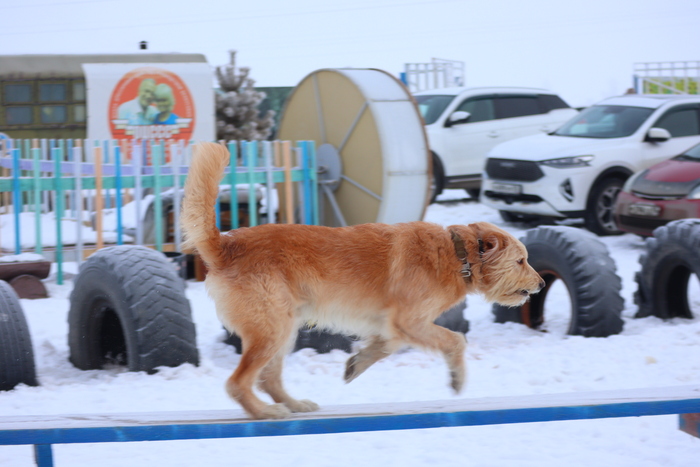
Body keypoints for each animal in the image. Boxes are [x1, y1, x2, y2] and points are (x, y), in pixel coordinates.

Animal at [181, 142, 544, 419]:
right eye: (521, 260)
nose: (541, 285)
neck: (456, 254)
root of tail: (226, 244)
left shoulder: (395, 324)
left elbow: (385, 347)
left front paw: (358, 362)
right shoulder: (409, 321)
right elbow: (455, 340)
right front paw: (456, 378)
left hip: (284, 328)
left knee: (268, 380)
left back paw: (294, 404)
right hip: (272, 329)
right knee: (238, 383)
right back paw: (265, 412)